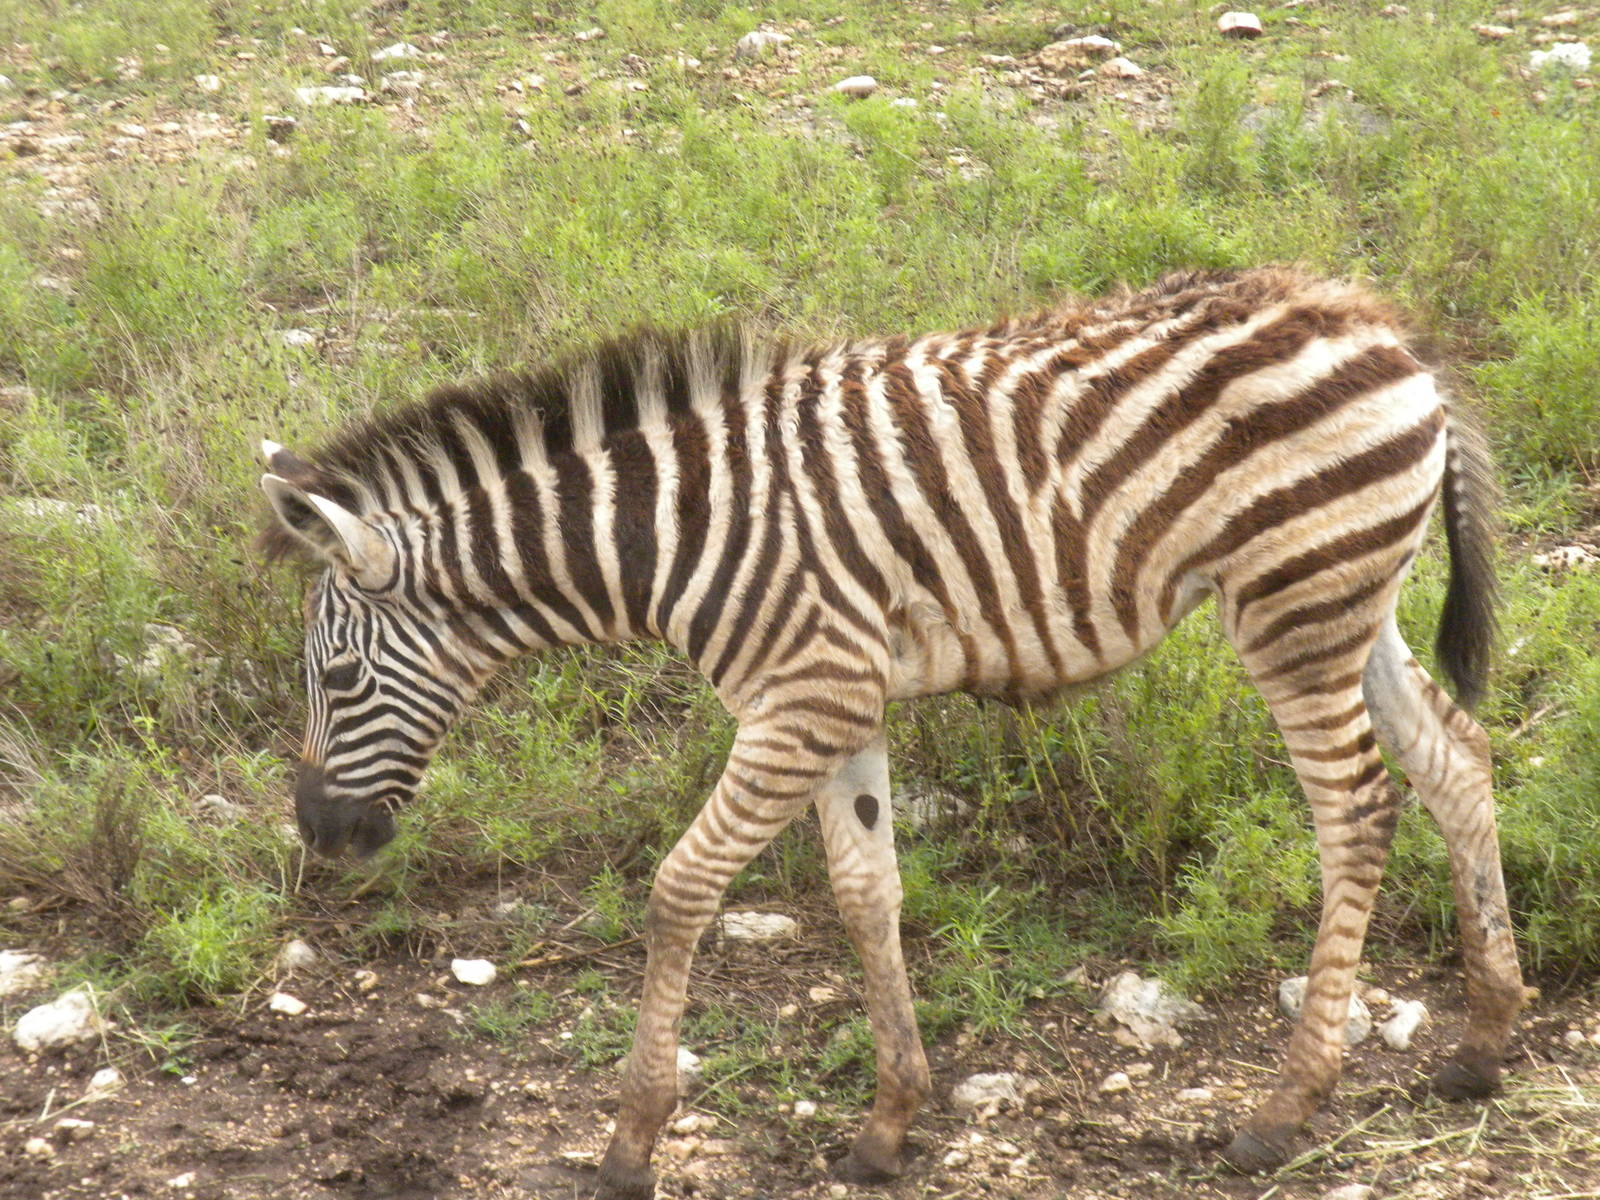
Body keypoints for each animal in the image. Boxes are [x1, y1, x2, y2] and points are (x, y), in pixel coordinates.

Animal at [258, 267, 1527, 1196]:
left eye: (337, 673)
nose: (318, 832)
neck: (673, 532)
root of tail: (1386, 327)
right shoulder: (840, 702)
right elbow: (867, 891)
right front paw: (887, 1122)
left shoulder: (800, 695)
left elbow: (681, 889)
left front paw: (631, 1140)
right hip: (1351, 598)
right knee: (1453, 758)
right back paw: (1481, 1042)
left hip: (1293, 604)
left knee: (1355, 809)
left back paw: (1285, 1107)